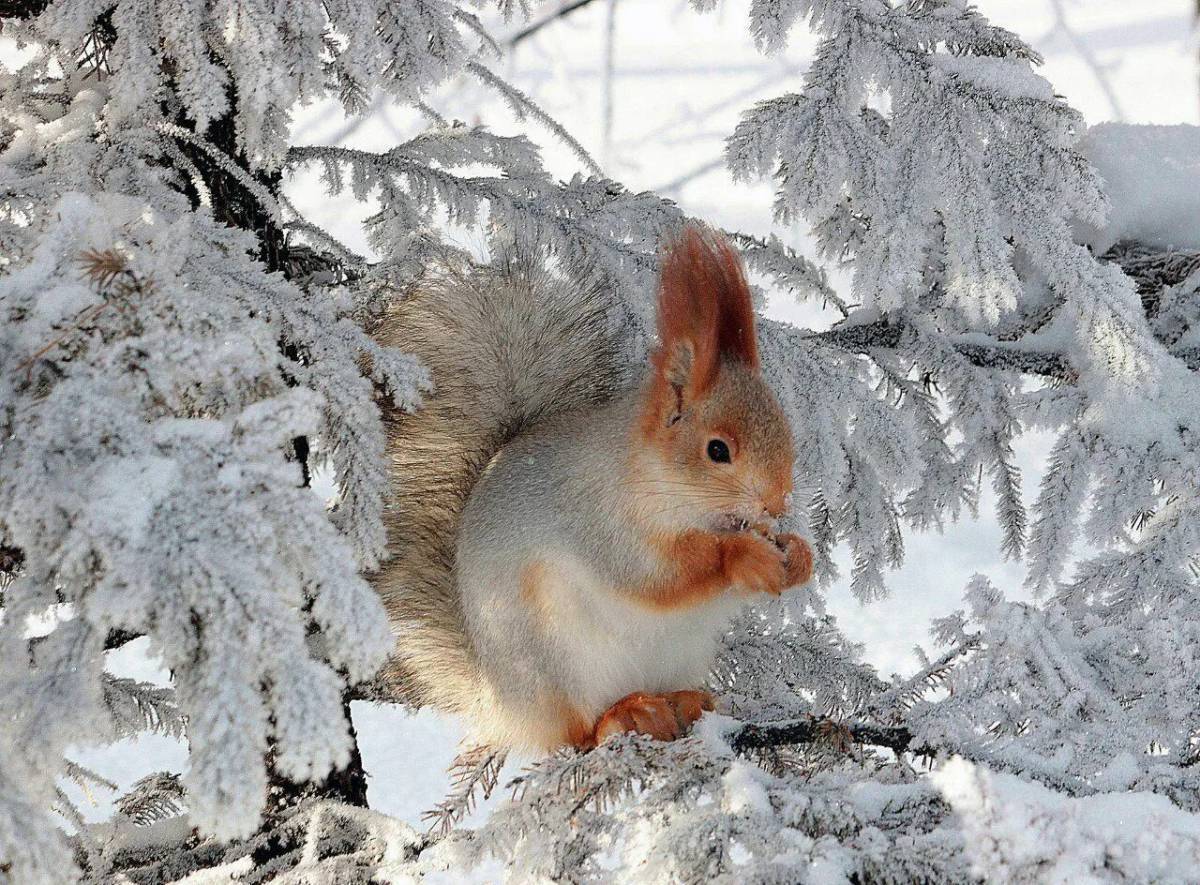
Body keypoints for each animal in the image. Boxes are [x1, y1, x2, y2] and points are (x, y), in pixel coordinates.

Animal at [369, 224, 811, 748]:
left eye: (785, 426)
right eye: (717, 450)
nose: (777, 503)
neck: (656, 478)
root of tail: (503, 703)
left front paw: (798, 555)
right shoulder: (598, 518)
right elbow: (656, 575)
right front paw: (742, 554)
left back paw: (687, 701)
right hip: (556, 658)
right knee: (578, 729)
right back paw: (626, 713)